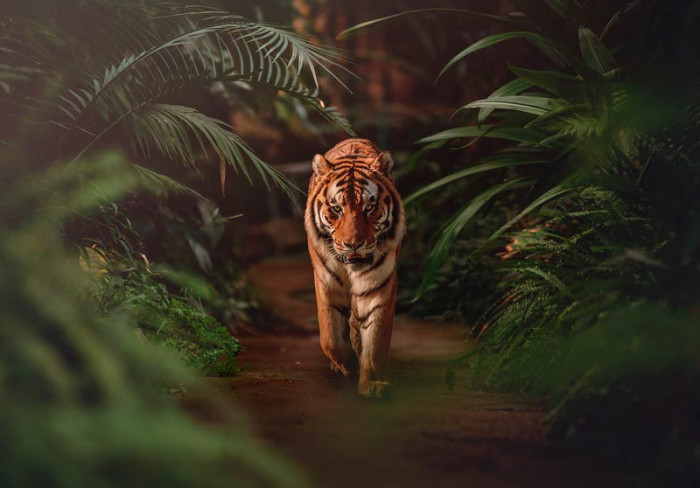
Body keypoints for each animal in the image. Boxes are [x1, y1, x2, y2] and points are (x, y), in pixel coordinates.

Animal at [304, 138, 406, 398]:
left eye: (369, 207)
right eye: (336, 208)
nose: (354, 244)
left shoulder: (378, 286)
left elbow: (376, 341)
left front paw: (372, 383)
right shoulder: (326, 284)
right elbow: (330, 337)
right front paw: (346, 364)